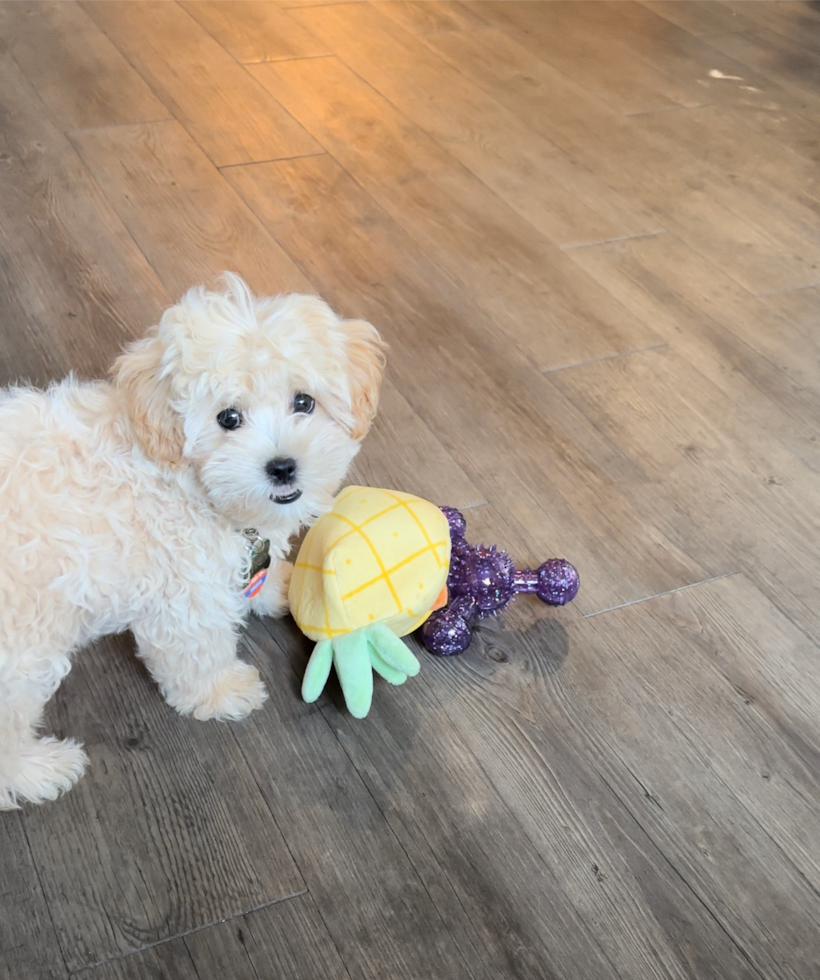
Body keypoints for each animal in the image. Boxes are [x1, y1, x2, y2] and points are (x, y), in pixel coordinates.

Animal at [0, 272, 386, 808]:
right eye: (228, 418)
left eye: (304, 402)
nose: (283, 467)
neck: (189, 482)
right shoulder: (184, 598)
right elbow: (197, 653)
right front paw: (220, 693)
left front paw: (282, 587)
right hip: (22, 653)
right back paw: (38, 771)